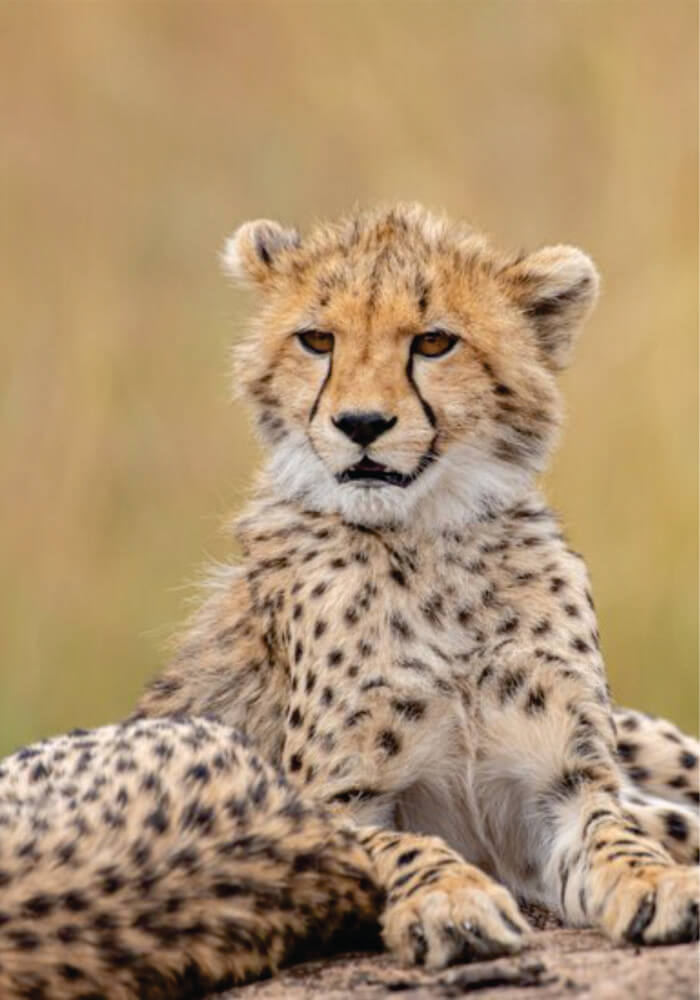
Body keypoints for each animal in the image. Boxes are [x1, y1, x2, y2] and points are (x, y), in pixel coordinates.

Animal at [0, 204, 697, 999]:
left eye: (434, 341)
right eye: (317, 340)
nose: (361, 425)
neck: (428, 546)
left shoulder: (563, 783)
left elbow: (616, 831)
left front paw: (657, 883)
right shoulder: (335, 804)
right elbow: (399, 847)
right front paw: (451, 902)